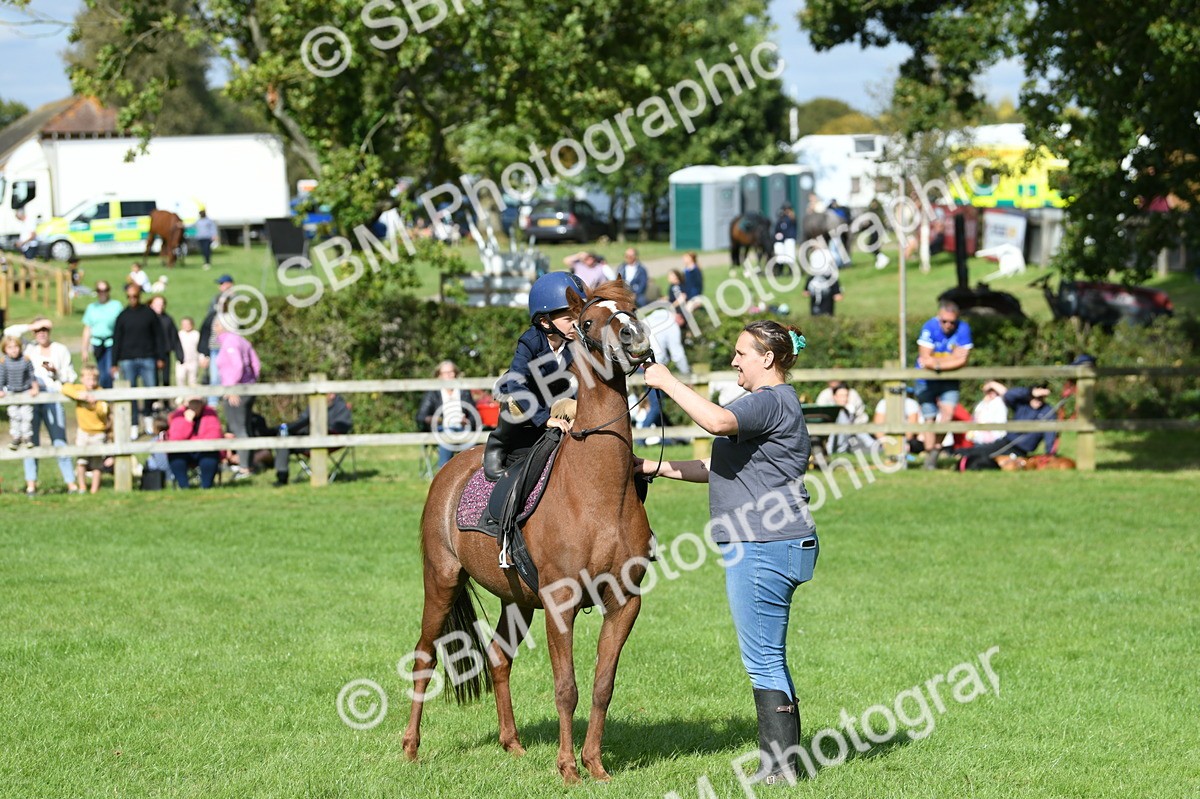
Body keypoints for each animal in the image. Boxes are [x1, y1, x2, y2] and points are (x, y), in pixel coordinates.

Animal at [403, 280, 655, 784]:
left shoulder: (624, 602)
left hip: (516, 600)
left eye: (631, 309)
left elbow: (602, 686)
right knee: (424, 656)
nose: (636, 336)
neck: (598, 493)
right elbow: (567, 688)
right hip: (441, 580)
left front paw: (596, 766)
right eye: (589, 321)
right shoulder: (560, 602)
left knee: (499, 658)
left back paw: (512, 743)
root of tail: (450, 471)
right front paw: (568, 768)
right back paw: (411, 747)